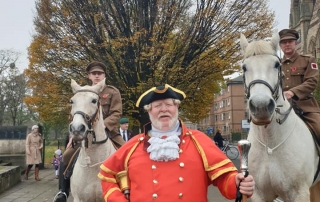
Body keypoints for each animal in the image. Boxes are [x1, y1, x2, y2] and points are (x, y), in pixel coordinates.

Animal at [239, 32, 320, 201]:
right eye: (244, 67)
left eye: (276, 64)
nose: (261, 106)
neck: (269, 144)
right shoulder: (258, 194)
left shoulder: (299, 194)